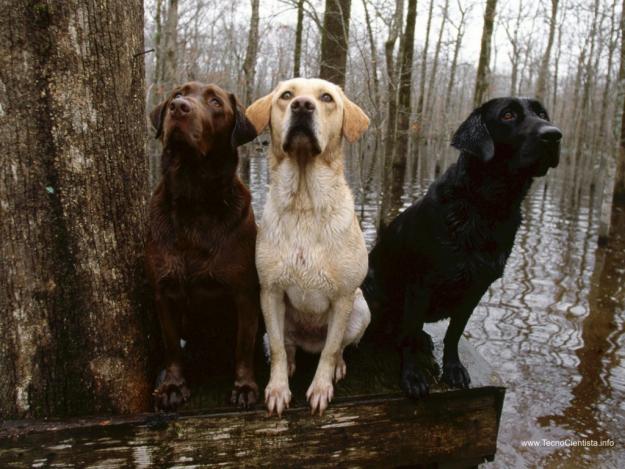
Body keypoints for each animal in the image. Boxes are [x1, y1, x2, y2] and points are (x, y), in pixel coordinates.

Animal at [360, 97, 560, 396]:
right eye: (508, 115)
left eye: (542, 113)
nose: (554, 134)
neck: (485, 207)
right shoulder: (420, 284)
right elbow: (408, 337)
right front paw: (412, 375)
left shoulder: (477, 287)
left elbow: (454, 333)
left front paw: (453, 368)